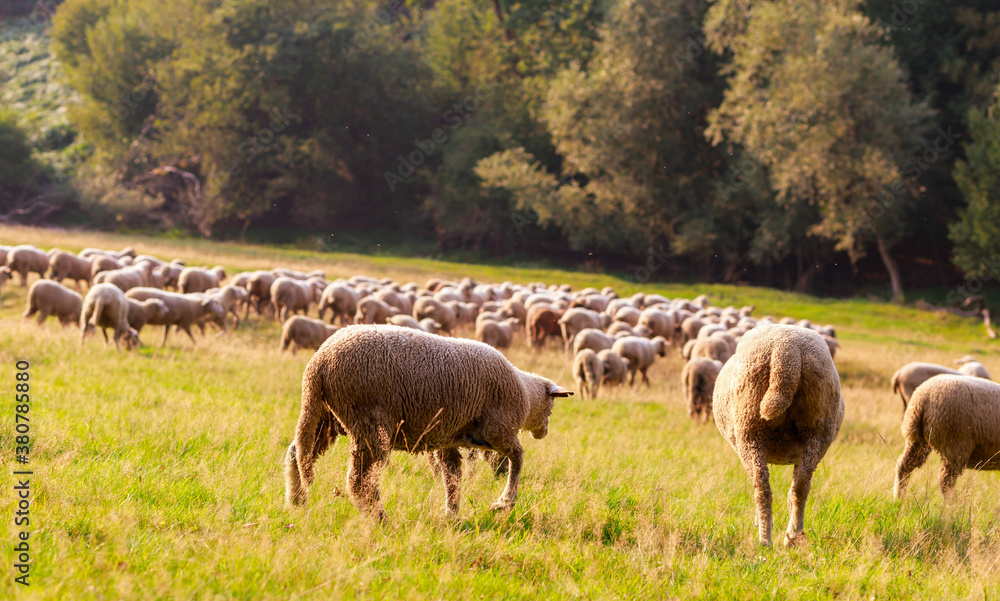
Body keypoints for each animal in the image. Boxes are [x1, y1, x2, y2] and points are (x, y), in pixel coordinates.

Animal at [283, 325, 573, 517]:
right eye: (551, 408)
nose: (544, 432)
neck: (524, 390)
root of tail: (319, 363)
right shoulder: (498, 431)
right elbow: (518, 458)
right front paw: (504, 502)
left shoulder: (451, 439)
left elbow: (453, 478)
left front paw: (452, 514)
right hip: (370, 422)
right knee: (359, 480)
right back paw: (380, 518)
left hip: (324, 417)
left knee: (298, 453)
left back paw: (297, 500)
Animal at [713, 324, 844, 546]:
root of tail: (787, 351)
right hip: (817, 428)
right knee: (801, 487)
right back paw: (793, 536)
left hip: (749, 427)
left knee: (761, 487)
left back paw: (765, 539)